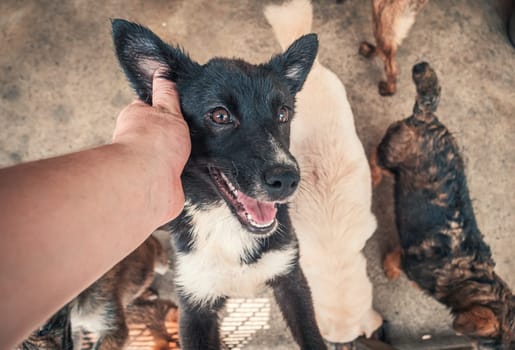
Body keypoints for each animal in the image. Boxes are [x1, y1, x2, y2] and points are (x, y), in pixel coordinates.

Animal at [113, 19, 326, 350]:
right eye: (220, 115)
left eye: (283, 113)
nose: (288, 179)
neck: (225, 223)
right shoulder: (194, 306)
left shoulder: (291, 278)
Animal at [372, 61, 515, 348]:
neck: (471, 277)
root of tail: (427, 118)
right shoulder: (407, 259)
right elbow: (394, 261)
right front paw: (389, 271)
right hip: (391, 152)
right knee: (375, 158)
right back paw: (374, 176)